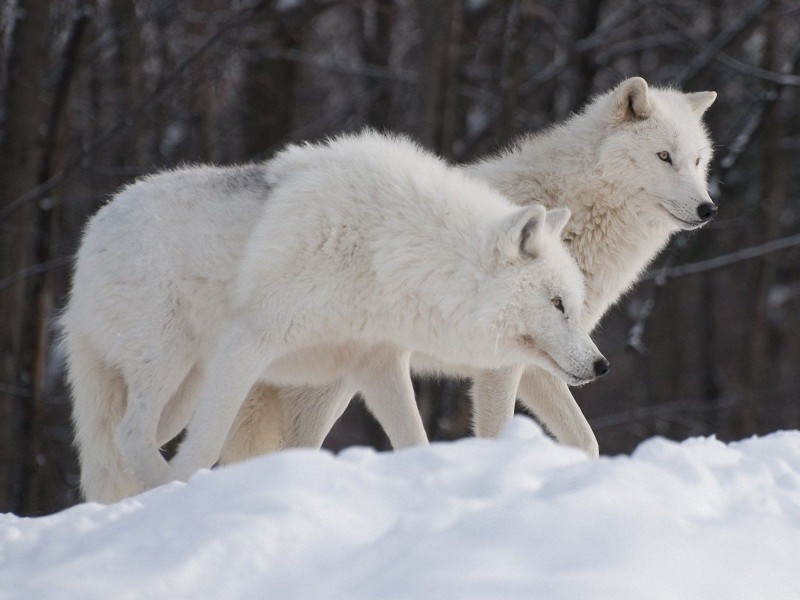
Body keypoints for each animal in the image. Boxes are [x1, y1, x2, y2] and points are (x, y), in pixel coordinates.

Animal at [62, 131, 608, 502]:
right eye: (557, 304)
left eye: (573, 304)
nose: (602, 366)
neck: (386, 249)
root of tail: (92, 231)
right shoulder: (248, 344)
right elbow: (206, 445)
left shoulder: (377, 365)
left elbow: (414, 441)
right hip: (169, 366)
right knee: (130, 436)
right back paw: (158, 491)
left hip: (181, 391)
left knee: (121, 444)